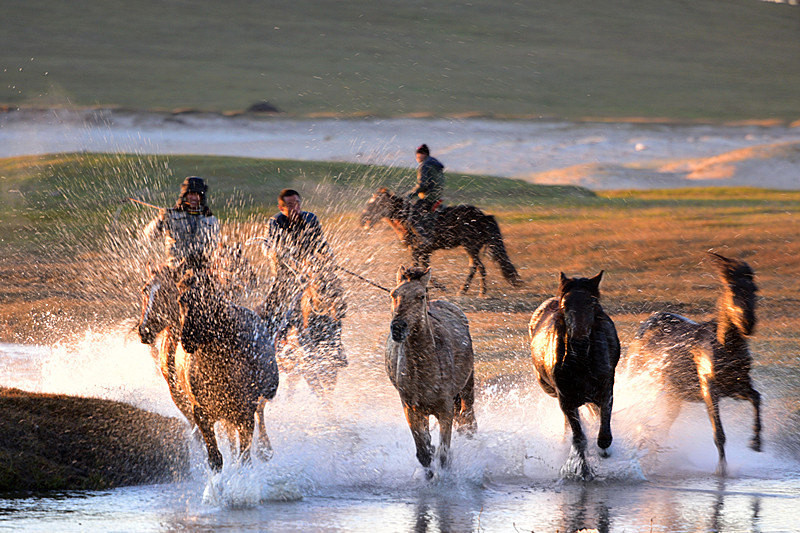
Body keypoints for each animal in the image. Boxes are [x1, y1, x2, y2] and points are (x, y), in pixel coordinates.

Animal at [360, 187, 520, 296]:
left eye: (374, 204)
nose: (362, 220)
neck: (405, 218)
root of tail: (484, 216)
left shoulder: (420, 249)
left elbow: (419, 267)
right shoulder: (422, 251)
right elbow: (422, 267)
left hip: (470, 247)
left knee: (475, 267)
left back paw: (466, 291)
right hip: (472, 248)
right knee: (480, 267)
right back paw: (481, 291)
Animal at [386, 266, 478, 478]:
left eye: (421, 296)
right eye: (394, 294)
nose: (398, 328)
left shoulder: (446, 409)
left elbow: (444, 454)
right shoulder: (411, 409)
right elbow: (424, 452)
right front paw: (429, 476)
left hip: (467, 389)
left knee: (468, 419)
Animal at [528, 270, 620, 478]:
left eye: (593, 304)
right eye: (565, 305)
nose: (579, 343)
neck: (582, 362)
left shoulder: (606, 391)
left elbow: (604, 434)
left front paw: (604, 451)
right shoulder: (566, 399)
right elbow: (579, 438)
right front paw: (582, 471)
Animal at [624, 251, 764, 476]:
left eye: (754, 289)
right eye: (731, 288)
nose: (748, 324)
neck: (726, 346)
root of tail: (646, 325)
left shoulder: (737, 387)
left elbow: (757, 399)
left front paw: (756, 443)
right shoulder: (709, 389)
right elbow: (719, 433)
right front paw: (721, 470)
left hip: (673, 398)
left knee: (662, 427)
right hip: (641, 379)